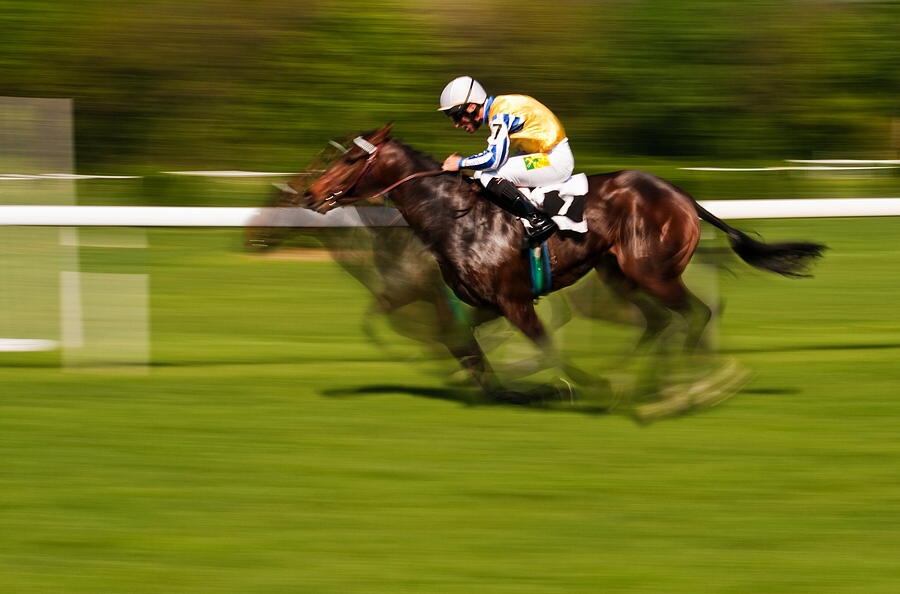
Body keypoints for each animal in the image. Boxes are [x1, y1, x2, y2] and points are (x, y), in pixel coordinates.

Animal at [303, 123, 826, 405]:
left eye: (349, 160)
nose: (308, 192)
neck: (456, 217)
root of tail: (681, 194)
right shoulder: (483, 302)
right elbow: (463, 346)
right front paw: (509, 388)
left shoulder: (515, 301)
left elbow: (548, 348)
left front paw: (578, 386)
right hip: (619, 274)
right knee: (659, 321)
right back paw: (645, 379)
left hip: (652, 272)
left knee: (695, 313)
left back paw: (684, 387)